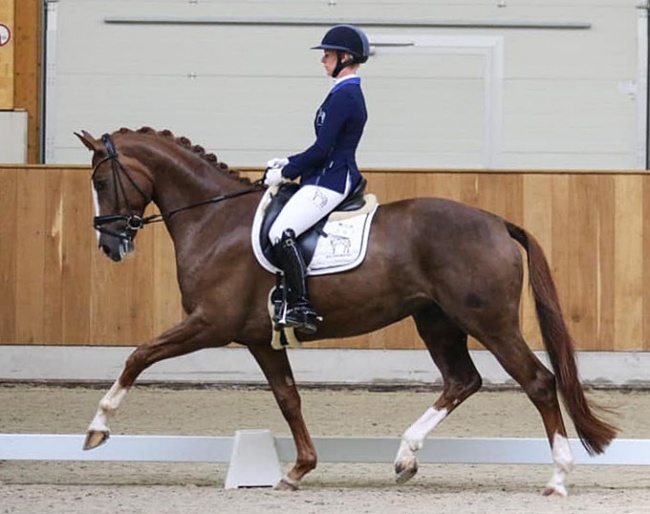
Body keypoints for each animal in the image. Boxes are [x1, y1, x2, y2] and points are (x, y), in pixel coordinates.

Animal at [76, 126, 612, 494]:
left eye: (101, 180)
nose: (109, 244)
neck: (213, 218)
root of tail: (498, 223)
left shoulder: (210, 323)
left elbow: (139, 355)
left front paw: (97, 429)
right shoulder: (259, 338)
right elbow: (288, 398)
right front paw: (297, 470)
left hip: (488, 322)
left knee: (538, 382)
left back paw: (558, 478)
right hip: (435, 320)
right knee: (463, 380)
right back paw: (405, 457)